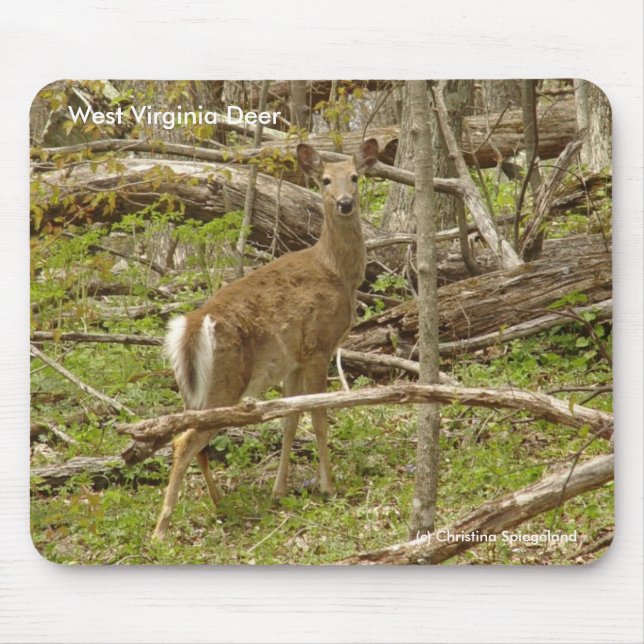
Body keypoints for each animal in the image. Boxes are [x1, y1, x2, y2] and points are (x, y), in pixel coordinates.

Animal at [152, 138, 379, 540]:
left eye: (354, 177)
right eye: (324, 180)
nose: (345, 203)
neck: (338, 272)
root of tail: (192, 325)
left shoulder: (294, 359)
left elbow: (290, 420)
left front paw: (279, 490)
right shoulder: (319, 346)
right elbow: (319, 417)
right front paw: (328, 486)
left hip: (192, 391)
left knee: (196, 443)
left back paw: (219, 504)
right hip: (226, 381)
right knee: (185, 442)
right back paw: (161, 529)